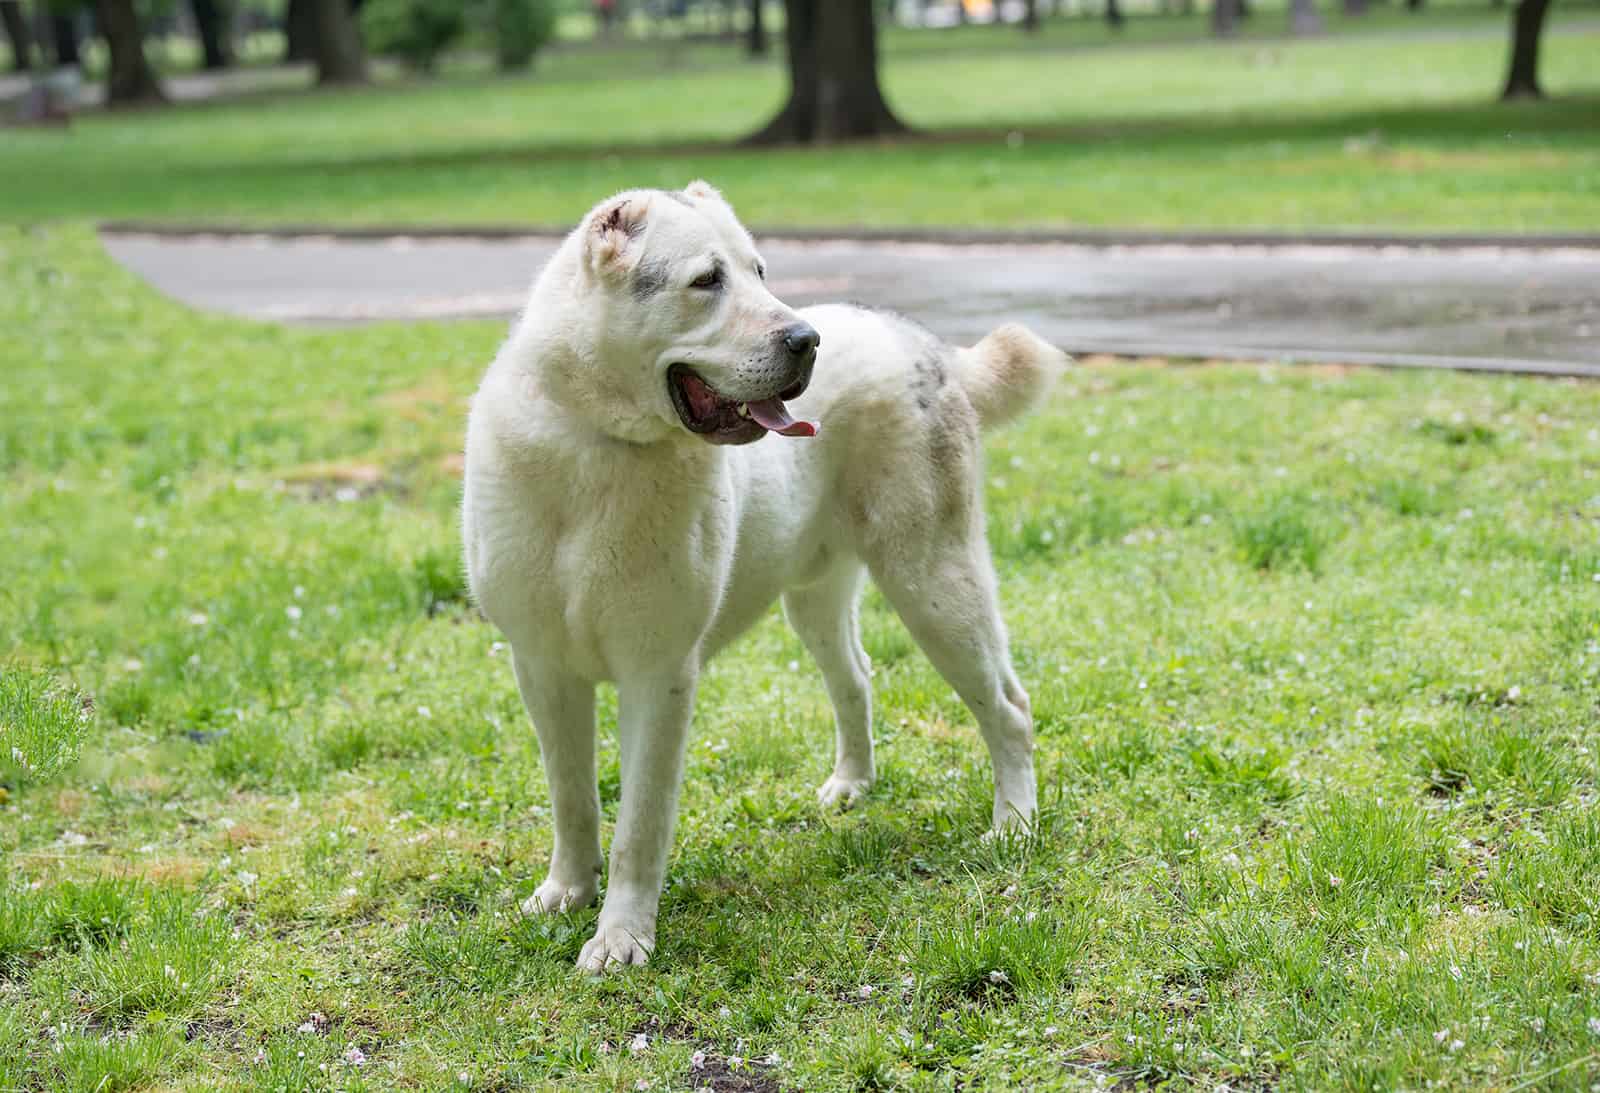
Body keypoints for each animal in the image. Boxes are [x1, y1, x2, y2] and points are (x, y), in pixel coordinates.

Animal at [460, 181, 1062, 972]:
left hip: (935, 584)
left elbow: (639, 823)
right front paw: (566, 891)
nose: (807, 340)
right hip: (817, 599)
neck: (600, 440)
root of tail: (927, 345)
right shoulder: (541, 666)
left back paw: (1014, 824)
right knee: (856, 678)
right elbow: (571, 797)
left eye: (761, 271)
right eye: (707, 281)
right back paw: (853, 785)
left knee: (1009, 708)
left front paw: (621, 936)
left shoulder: (659, 676)